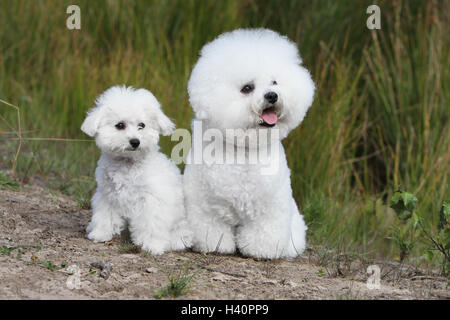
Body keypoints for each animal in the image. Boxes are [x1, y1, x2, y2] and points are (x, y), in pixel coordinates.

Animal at [81, 85, 191, 255]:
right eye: (120, 125)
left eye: (142, 125)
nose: (135, 141)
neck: (128, 164)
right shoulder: (108, 195)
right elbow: (105, 216)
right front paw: (101, 233)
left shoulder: (152, 201)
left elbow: (152, 224)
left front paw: (152, 245)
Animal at [185, 28, 314, 260]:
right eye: (247, 88)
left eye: (274, 82)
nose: (272, 95)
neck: (245, 150)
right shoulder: (207, 207)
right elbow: (212, 230)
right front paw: (215, 246)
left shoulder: (270, 208)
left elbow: (264, 233)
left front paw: (261, 251)